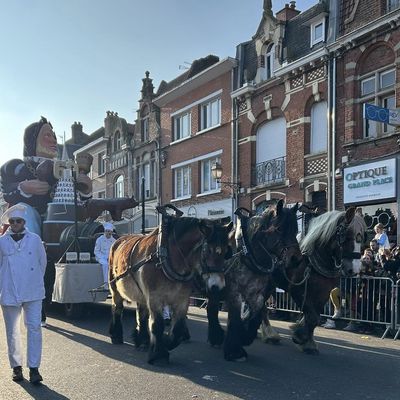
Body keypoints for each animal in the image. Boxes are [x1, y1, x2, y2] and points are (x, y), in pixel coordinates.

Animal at [108, 206, 233, 366]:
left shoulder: (182, 299)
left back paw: (142, 340)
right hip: (115, 288)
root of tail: (119, 239)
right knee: (117, 308)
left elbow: (177, 328)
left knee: (141, 314)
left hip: (141, 294)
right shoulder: (154, 298)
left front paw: (167, 342)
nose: (218, 285)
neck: (167, 257)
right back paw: (116, 335)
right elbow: (157, 325)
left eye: (226, 251)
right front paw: (158, 354)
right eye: (207, 250)